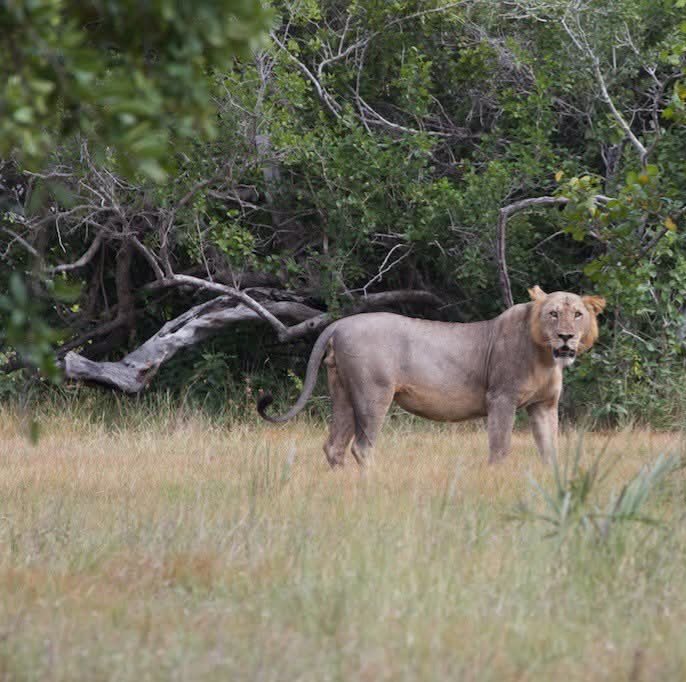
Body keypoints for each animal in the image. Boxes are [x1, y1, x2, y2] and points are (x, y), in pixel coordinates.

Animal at [258, 286, 606, 466]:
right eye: (553, 314)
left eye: (578, 314)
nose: (565, 337)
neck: (545, 357)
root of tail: (338, 324)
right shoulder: (501, 398)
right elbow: (499, 447)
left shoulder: (544, 405)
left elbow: (550, 449)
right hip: (373, 394)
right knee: (362, 446)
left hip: (342, 391)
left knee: (334, 446)